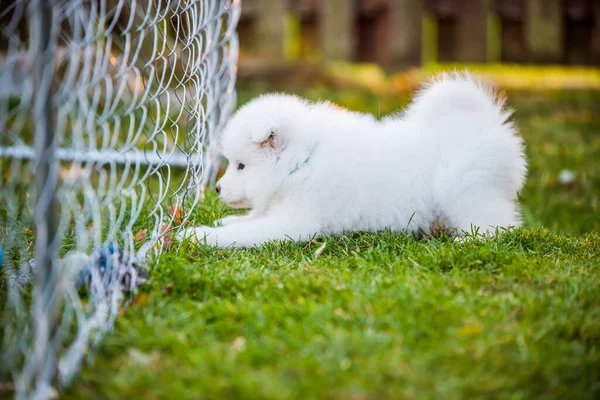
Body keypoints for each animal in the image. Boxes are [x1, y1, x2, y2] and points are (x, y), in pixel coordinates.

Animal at [180, 72, 528, 247]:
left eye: (241, 165)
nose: (217, 189)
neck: (302, 164)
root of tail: (486, 123)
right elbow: (247, 220)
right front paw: (224, 221)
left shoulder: (295, 222)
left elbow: (243, 233)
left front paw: (197, 235)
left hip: (464, 188)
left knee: (499, 224)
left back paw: (468, 241)